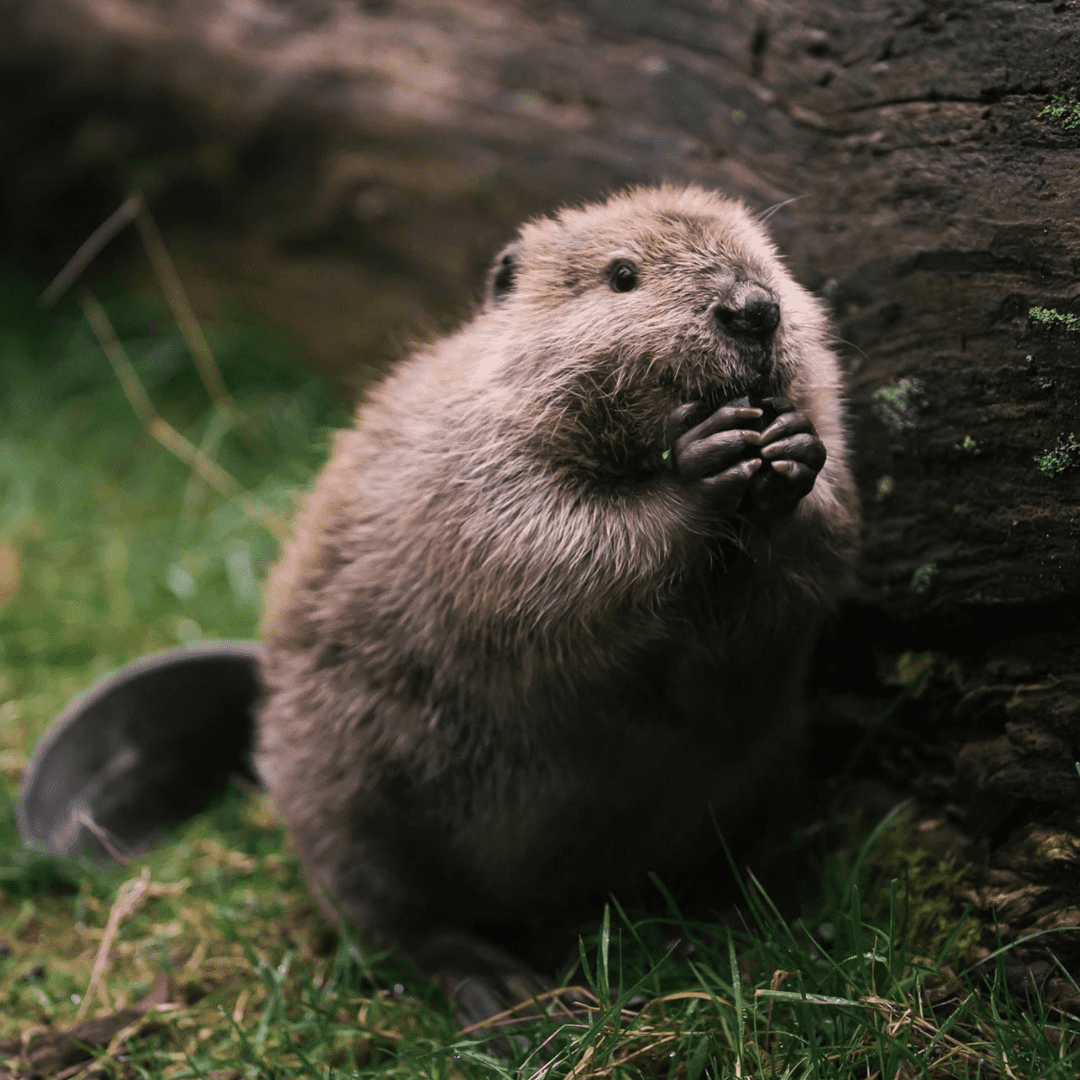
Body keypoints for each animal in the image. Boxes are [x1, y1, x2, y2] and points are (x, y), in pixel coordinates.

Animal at [254, 183, 859, 1019]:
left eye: (771, 260)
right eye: (622, 274)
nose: (753, 307)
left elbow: (813, 556)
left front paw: (793, 452)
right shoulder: (471, 462)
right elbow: (544, 554)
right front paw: (706, 461)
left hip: (769, 765)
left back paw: (739, 928)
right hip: (339, 781)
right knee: (387, 917)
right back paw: (505, 993)